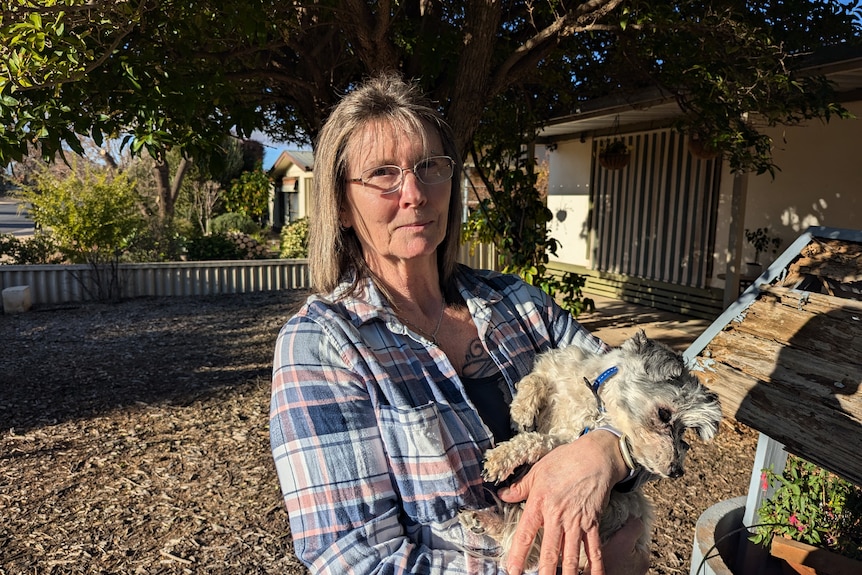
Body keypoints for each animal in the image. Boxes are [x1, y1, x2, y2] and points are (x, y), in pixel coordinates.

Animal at [462, 330, 724, 568]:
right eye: (664, 414)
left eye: (683, 432)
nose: (677, 471)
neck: (594, 398)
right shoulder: (554, 369)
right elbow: (534, 379)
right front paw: (522, 412)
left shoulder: (566, 442)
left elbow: (536, 440)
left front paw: (500, 457)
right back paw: (480, 520)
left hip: (626, 507)